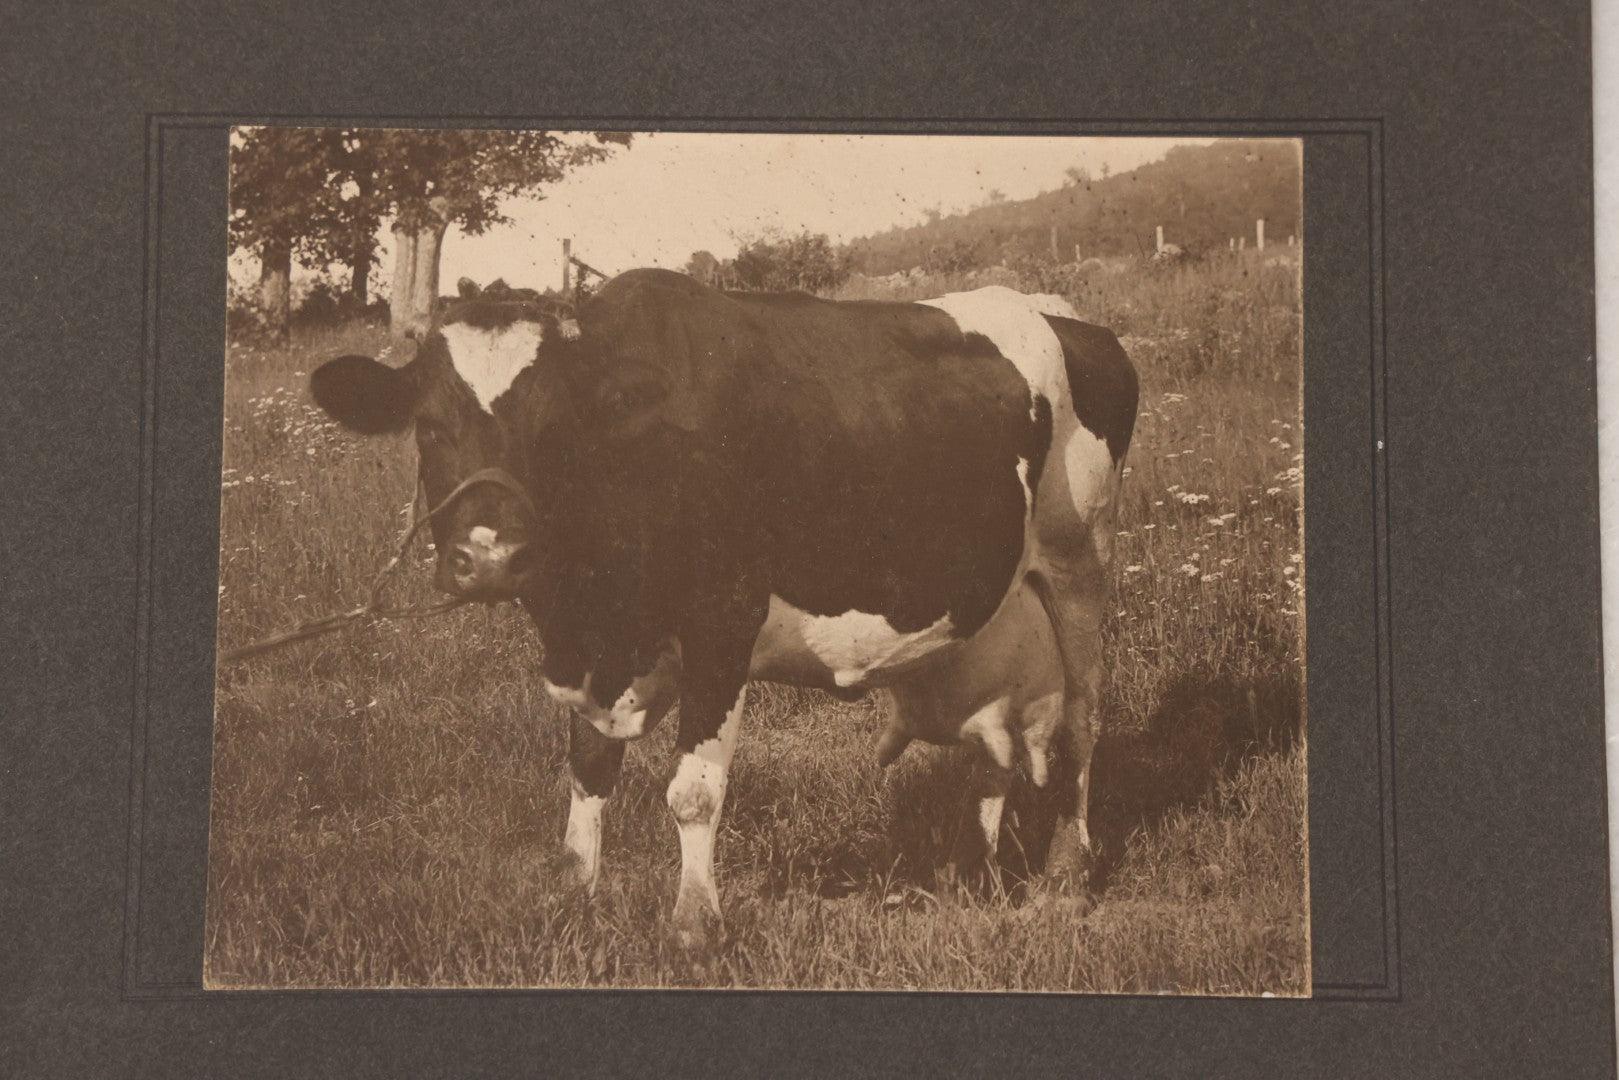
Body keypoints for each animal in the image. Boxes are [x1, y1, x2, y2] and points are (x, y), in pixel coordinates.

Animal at [310, 268, 1138, 948]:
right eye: (428, 427)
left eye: (554, 432)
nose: (489, 557)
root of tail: (1062, 315)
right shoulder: (593, 653)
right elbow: (588, 769)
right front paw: (576, 894)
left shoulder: (722, 624)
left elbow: (692, 794)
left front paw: (692, 924)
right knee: (995, 743)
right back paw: (973, 873)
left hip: (1079, 554)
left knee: (1082, 715)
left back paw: (1065, 877)